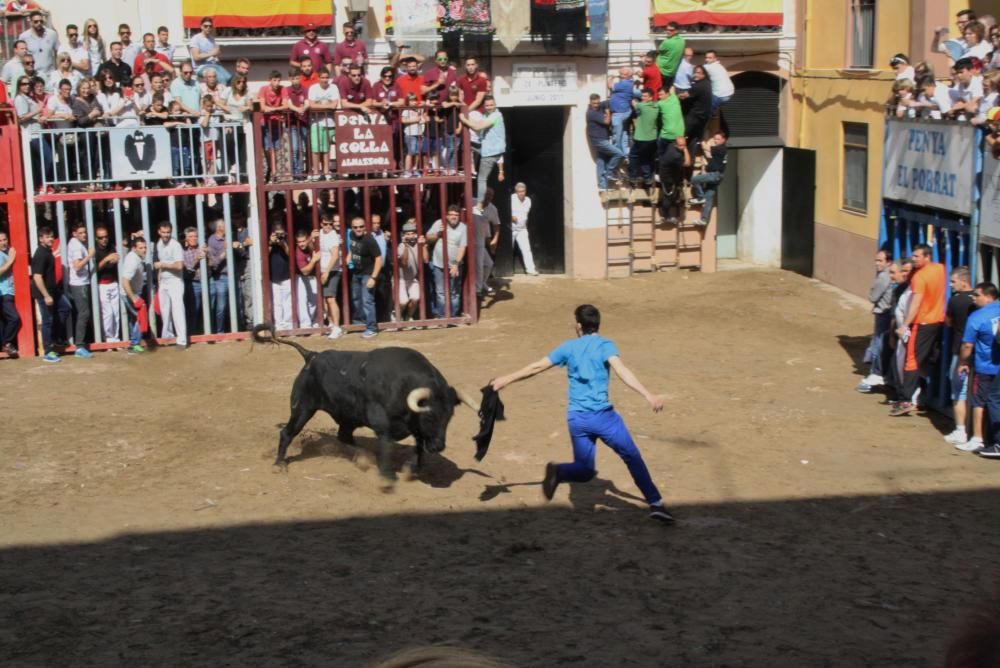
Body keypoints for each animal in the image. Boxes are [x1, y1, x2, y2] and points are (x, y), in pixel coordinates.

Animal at [254, 324, 480, 480]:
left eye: (449, 417)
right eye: (430, 416)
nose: (439, 446)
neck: (404, 385)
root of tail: (311, 356)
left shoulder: (414, 428)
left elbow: (418, 446)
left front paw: (412, 469)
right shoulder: (382, 424)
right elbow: (389, 445)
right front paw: (388, 474)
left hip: (347, 417)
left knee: (344, 436)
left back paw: (364, 458)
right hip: (302, 408)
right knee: (287, 432)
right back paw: (279, 464)